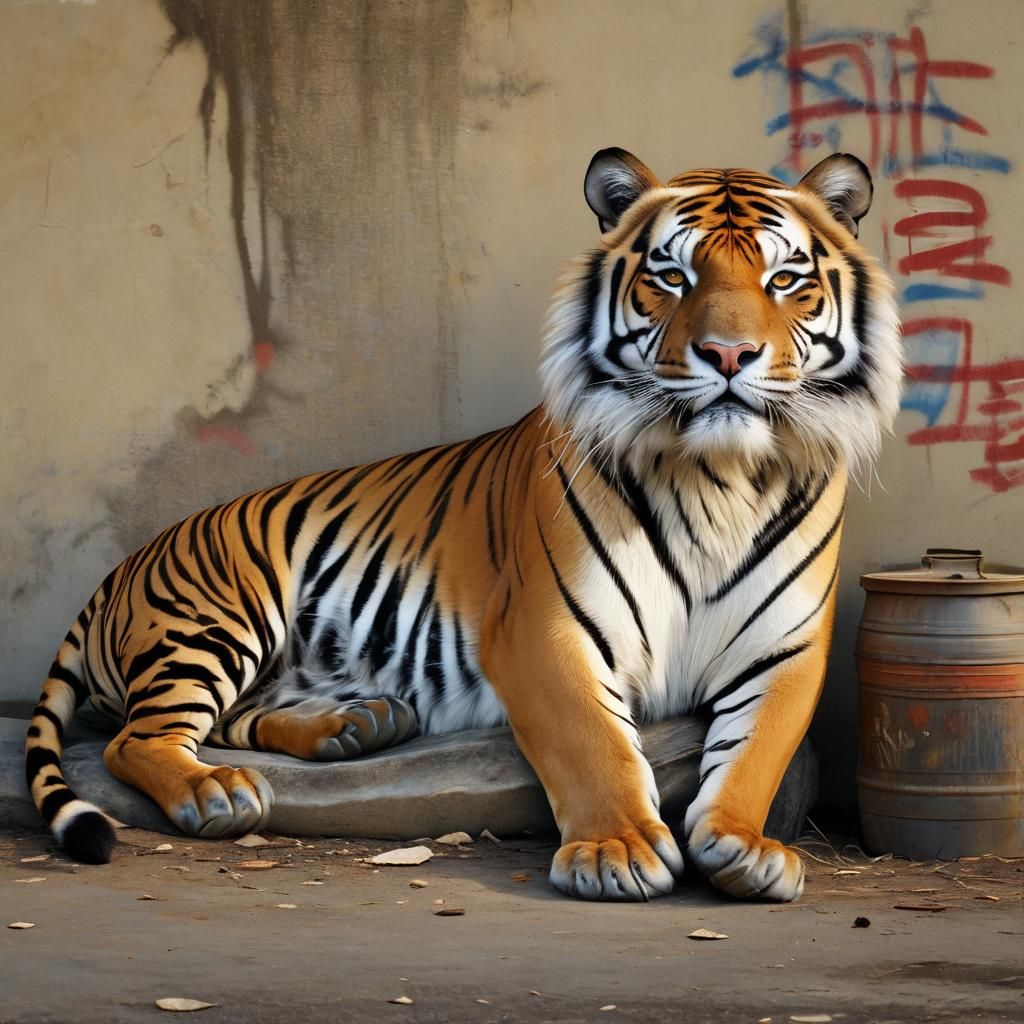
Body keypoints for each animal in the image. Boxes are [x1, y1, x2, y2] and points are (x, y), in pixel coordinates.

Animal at [25, 148, 901, 902]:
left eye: (784, 279)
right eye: (671, 277)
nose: (728, 354)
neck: (717, 476)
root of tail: (122, 567)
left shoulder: (786, 645)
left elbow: (757, 752)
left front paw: (746, 847)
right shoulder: (546, 629)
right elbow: (594, 742)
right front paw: (616, 849)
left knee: (235, 718)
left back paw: (354, 727)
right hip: (216, 618)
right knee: (137, 738)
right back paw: (217, 792)